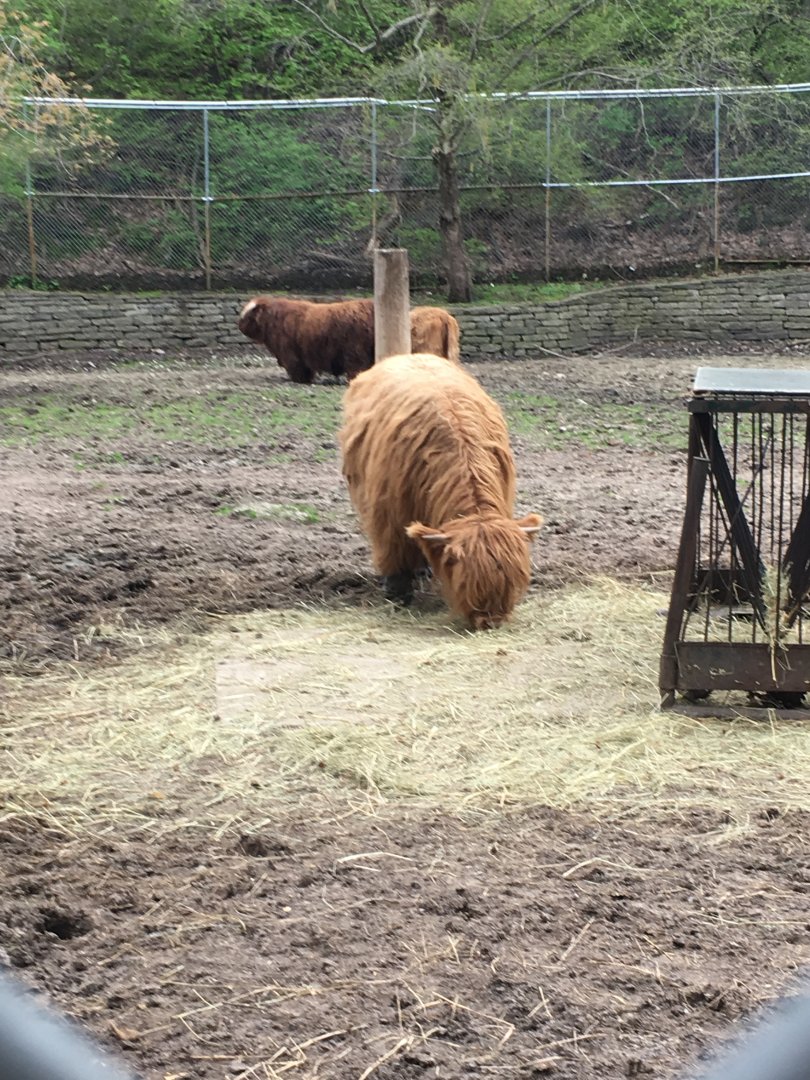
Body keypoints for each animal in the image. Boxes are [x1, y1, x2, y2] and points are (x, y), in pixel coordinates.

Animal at [340, 353, 542, 629]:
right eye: (469, 584)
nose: (490, 621)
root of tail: (408, 355)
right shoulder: (388, 513)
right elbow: (394, 552)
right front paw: (398, 595)